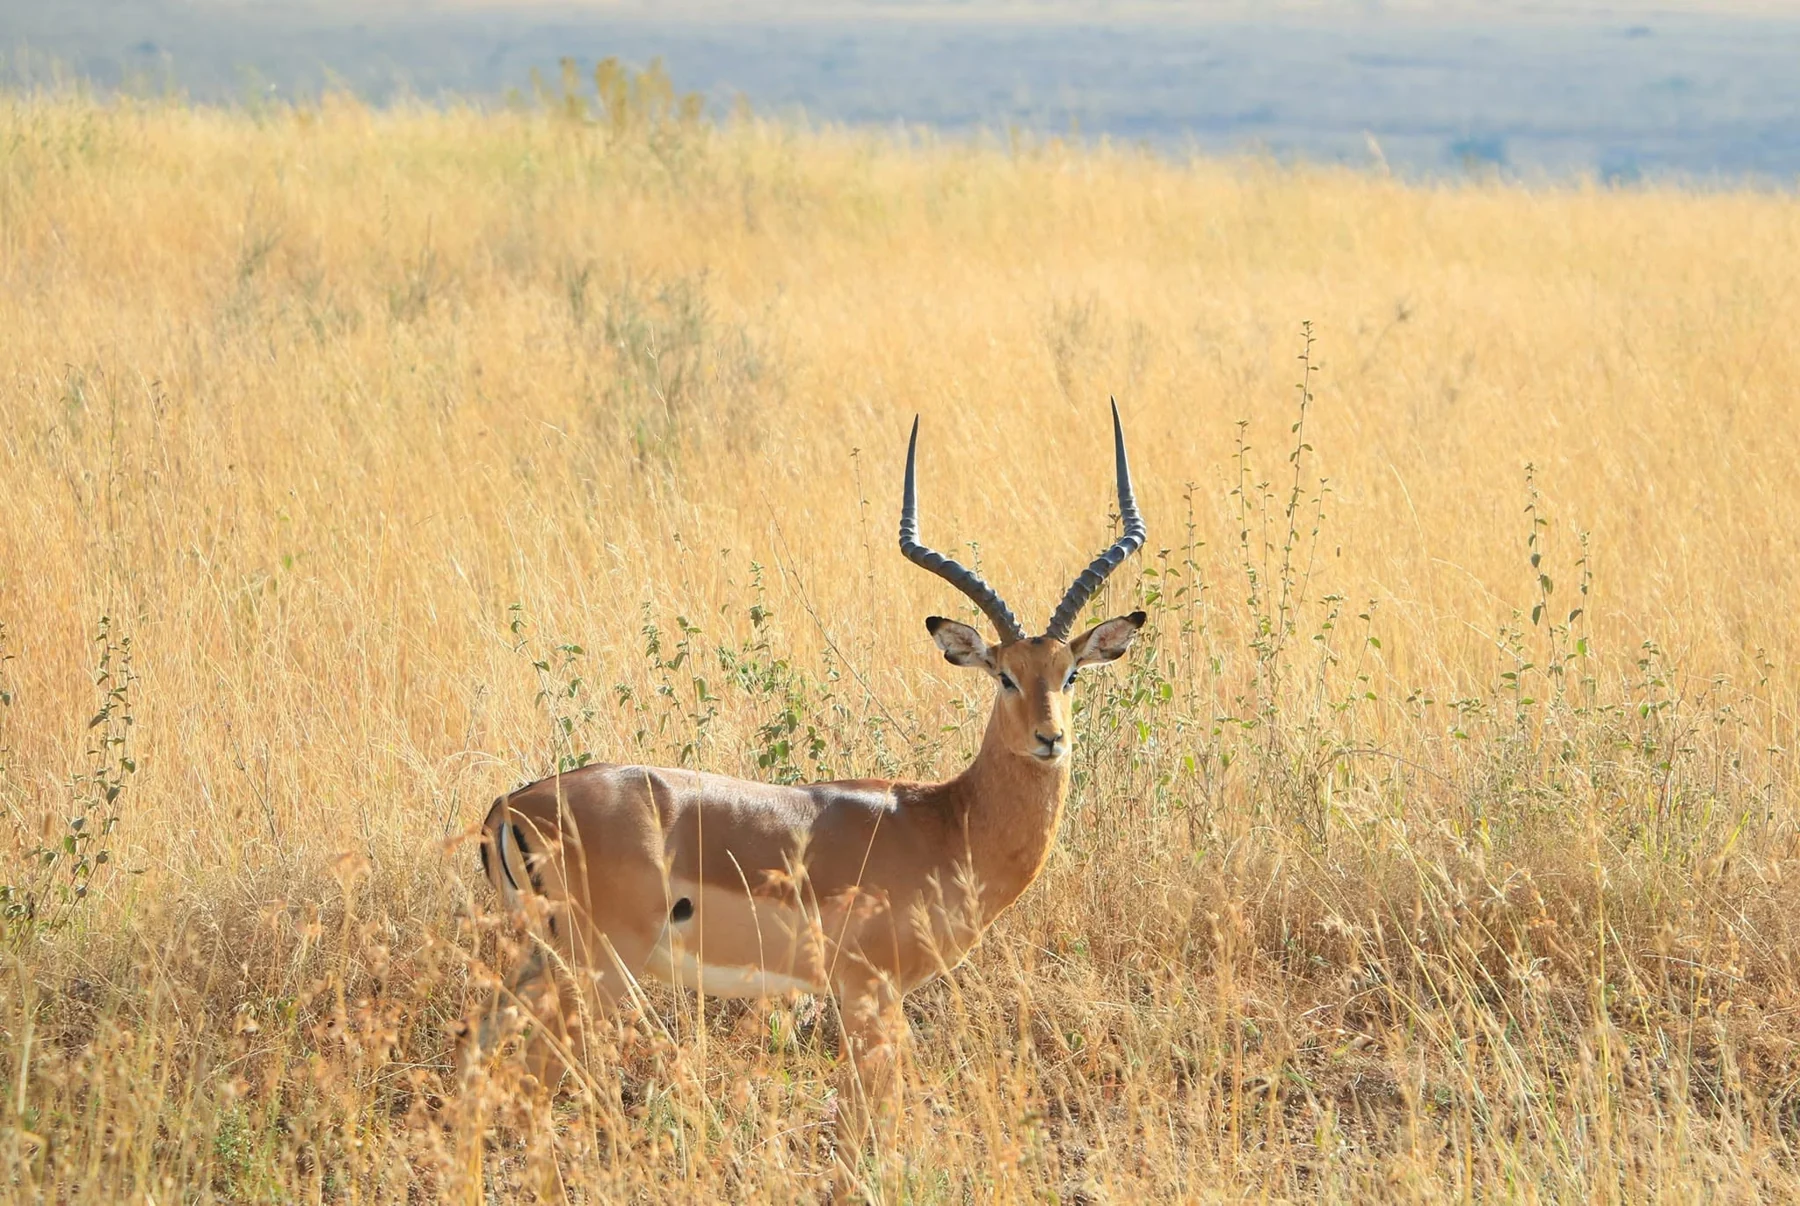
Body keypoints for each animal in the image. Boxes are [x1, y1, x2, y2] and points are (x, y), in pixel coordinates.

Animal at [464, 403, 1148, 1136]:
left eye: (1069, 673)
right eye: (1004, 676)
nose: (1051, 739)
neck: (947, 822)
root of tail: (511, 805)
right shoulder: (869, 991)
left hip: (536, 964)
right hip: (593, 971)